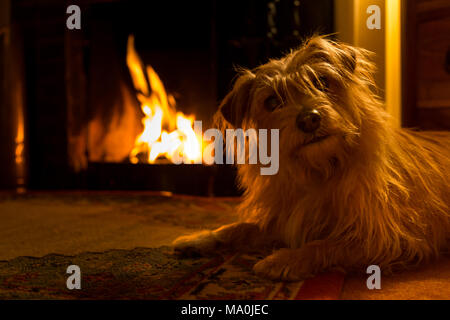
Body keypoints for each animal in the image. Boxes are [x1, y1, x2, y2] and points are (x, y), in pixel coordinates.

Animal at [173, 35, 450, 280]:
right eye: (272, 101)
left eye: (322, 81)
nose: (309, 119)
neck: (320, 169)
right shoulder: (285, 220)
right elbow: (239, 228)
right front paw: (201, 238)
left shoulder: (382, 238)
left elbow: (324, 245)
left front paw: (284, 259)